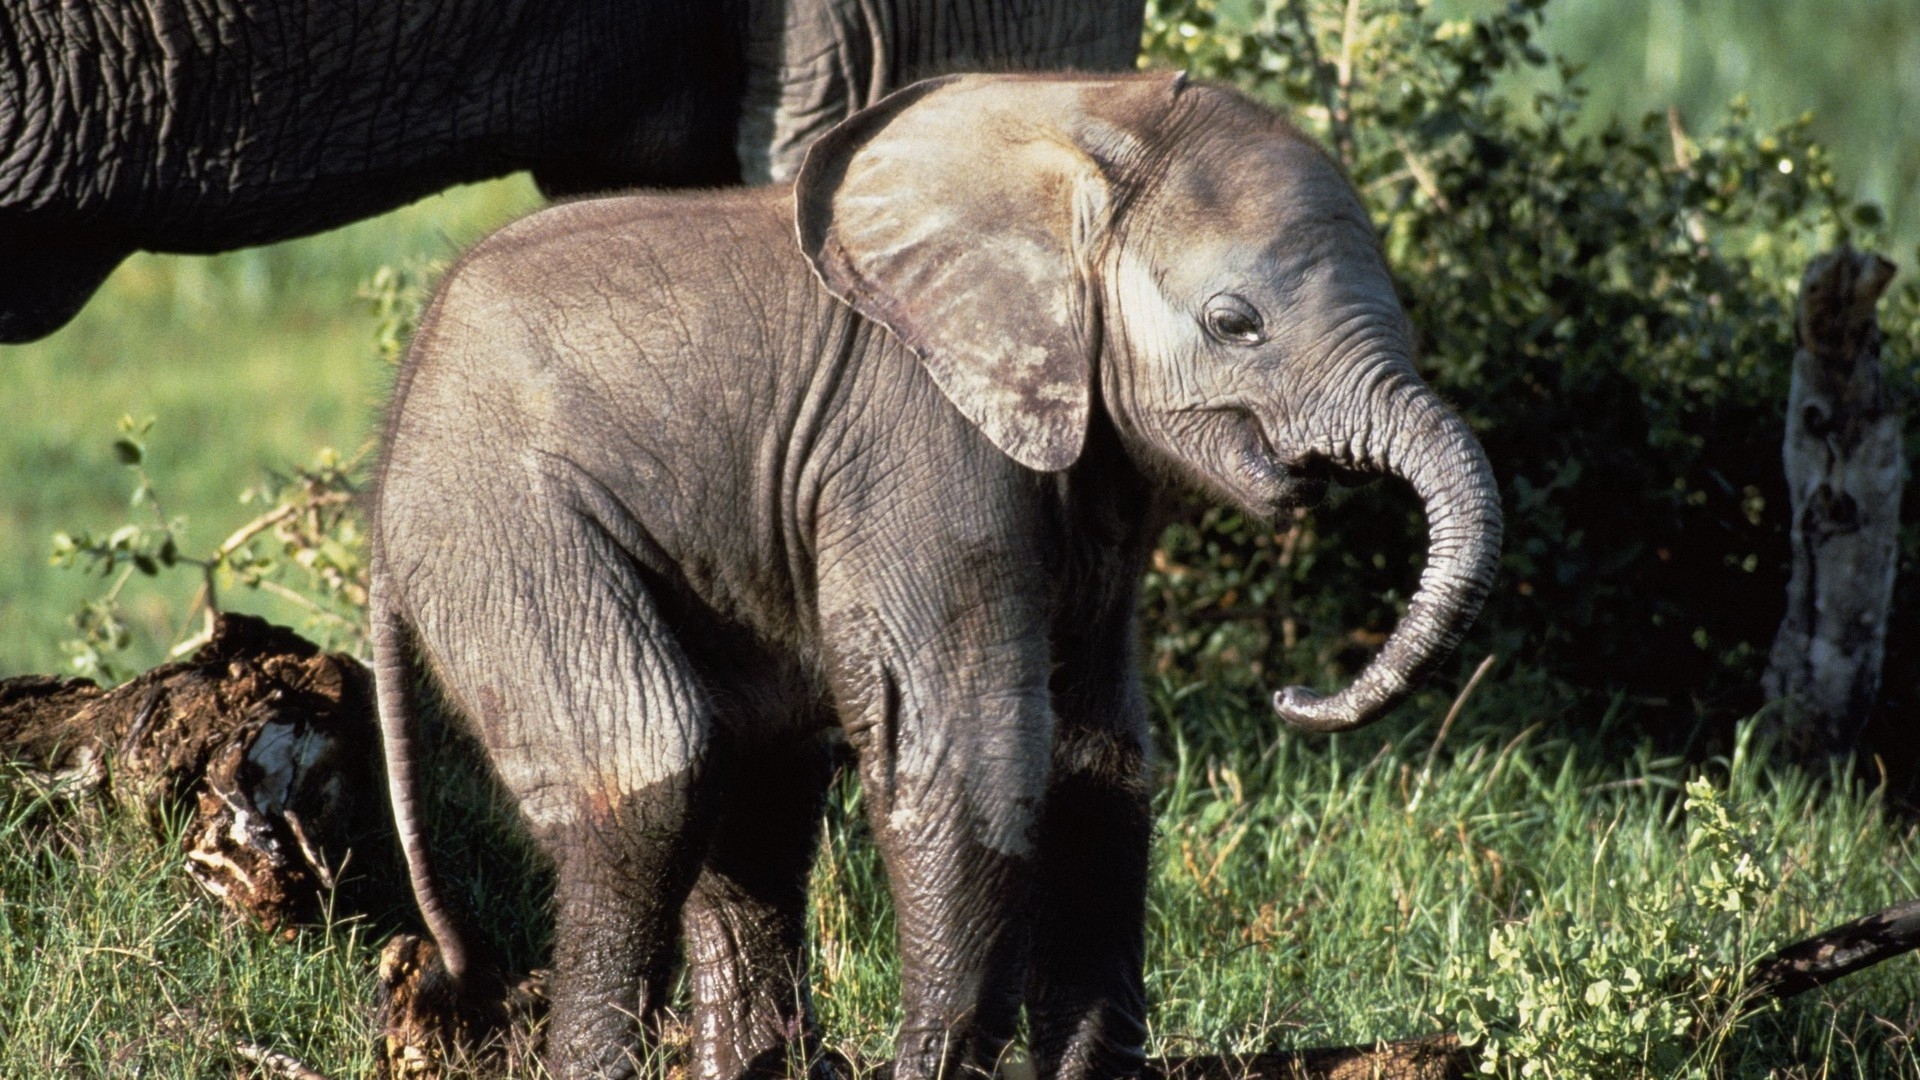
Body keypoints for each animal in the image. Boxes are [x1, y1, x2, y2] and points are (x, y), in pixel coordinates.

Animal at [369, 71, 1503, 1080]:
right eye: (1235, 323)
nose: (1293, 696)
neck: (1081, 125)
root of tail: (394, 437)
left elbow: (1099, 762)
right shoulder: (919, 440)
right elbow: (970, 755)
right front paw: (935, 1069)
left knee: (759, 790)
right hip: (500, 519)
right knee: (656, 767)